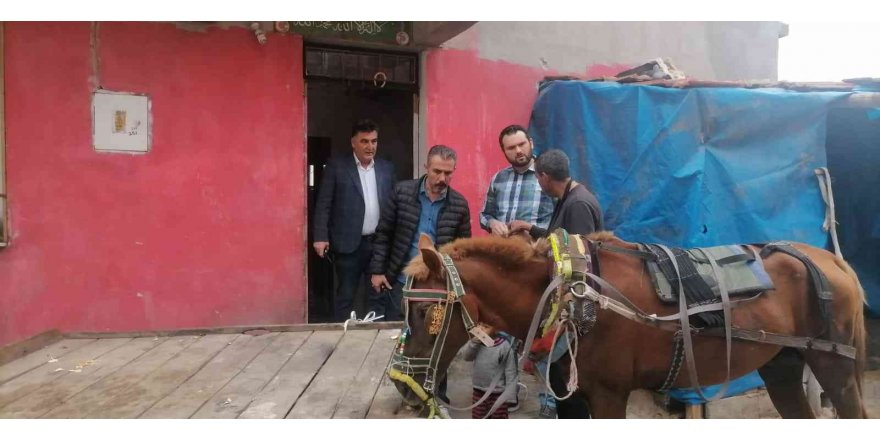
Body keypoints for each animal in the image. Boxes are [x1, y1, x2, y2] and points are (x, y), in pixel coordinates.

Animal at [396, 232, 868, 418]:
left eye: (422, 312)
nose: (404, 386)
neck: (569, 294)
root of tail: (832, 260)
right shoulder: (576, 396)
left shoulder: (609, 395)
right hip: (782, 365)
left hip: (835, 368)